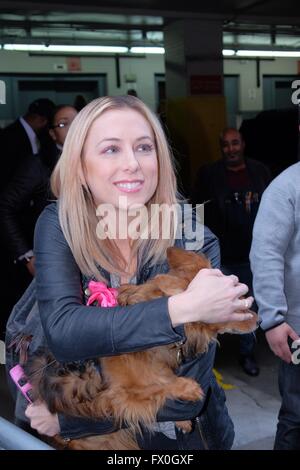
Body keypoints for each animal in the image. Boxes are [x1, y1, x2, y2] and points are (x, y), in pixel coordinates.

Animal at [25, 246, 258, 448]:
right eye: (236, 304)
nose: (260, 320)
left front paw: (182, 421)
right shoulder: (118, 396)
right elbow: (158, 385)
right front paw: (187, 388)